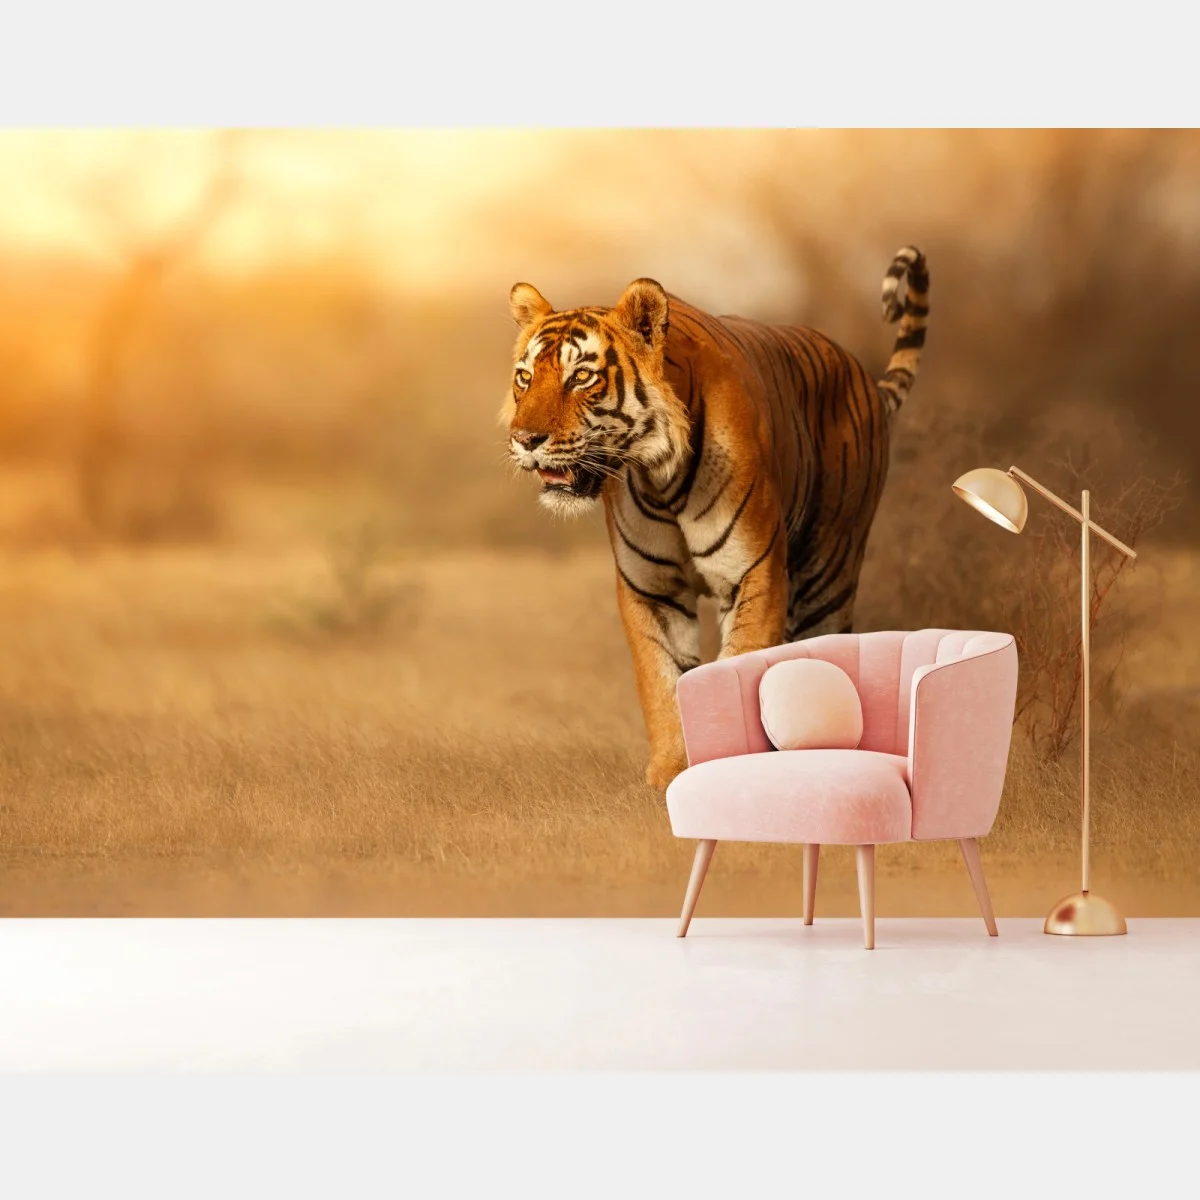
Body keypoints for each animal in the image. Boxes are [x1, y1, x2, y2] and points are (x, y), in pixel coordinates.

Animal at [500, 246, 929, 789]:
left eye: (581, 377)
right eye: (525, 377)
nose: (524, 439)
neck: (660, 477)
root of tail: (862, 375)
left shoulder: (755, 573)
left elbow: (739, 668)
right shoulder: (652, 590)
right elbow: (663, 683)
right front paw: (669, 772)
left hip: (828, 575)